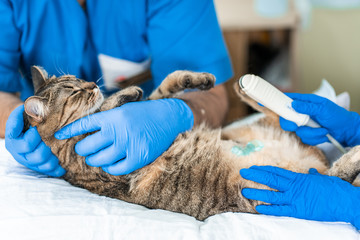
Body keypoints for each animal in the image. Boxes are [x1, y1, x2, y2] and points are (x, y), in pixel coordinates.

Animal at [23, 66, 360, 221]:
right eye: (73, 90)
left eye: (78, 79)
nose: (93, 83)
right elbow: (117, 106)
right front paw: (123, 95)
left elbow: (162, 91)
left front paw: (187, 80)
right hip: (275, 190)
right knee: (330, 180)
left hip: (262, 133)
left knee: (285, 120)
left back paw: (254, 90)